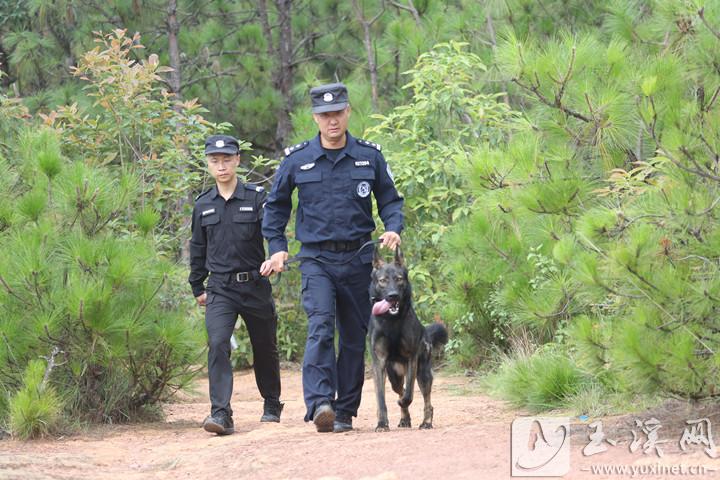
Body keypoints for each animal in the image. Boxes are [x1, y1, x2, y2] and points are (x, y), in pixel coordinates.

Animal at [368, 248, 448, 432]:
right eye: (383, 281)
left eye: (399, 279)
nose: (393, 296)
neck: (391, 321)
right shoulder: (379, 363)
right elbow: (381, 399)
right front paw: (382, 423)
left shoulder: (412, 358)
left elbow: (409, 394)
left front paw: (404, 401)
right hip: (394, 377)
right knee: (400, 389)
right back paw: (405, 419)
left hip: (423, 373)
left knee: (426, 401)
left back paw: (426, 422)